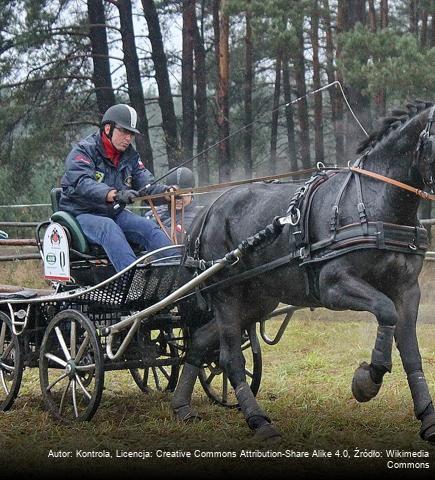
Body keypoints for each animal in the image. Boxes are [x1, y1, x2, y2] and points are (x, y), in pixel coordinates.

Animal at [172, 101, 435, 442]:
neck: (375, 201)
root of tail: (209, 209)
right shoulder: (334, 285)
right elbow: (385, 310)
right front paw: (367, 380)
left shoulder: (407, 289)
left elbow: (411, 350)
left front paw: (427, 417)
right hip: (227, 296)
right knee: (230, 358)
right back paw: (259, 420)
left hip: (257, 299)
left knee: (202, 340)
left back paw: (181, 406)